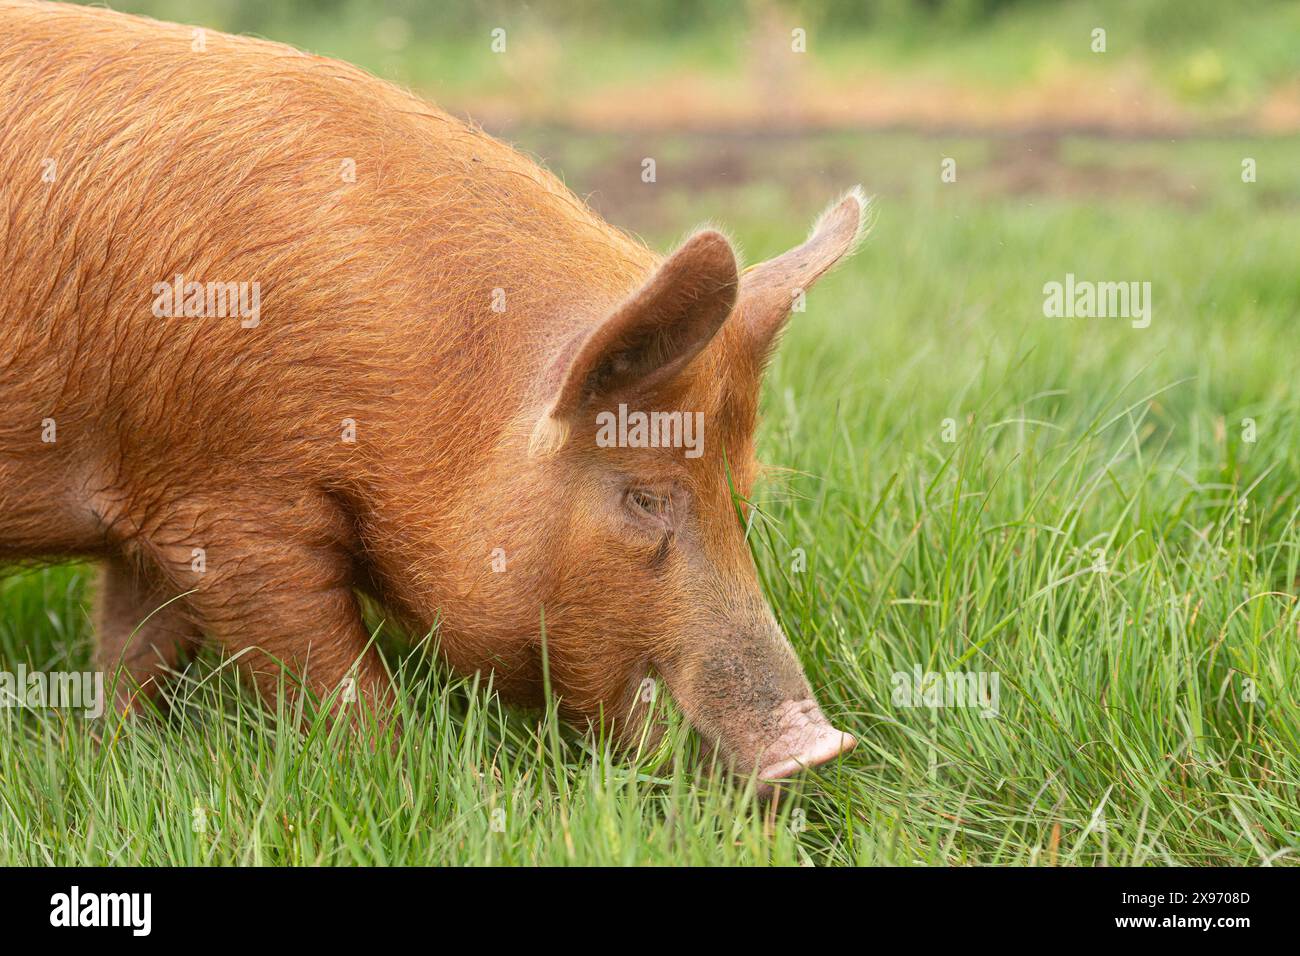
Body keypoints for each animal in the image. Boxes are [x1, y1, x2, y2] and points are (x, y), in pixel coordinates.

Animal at [2, 0, 863, 790]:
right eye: (644, 495)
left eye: (739, 493)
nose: (821, 746)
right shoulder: (229, 504)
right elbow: (329, 673)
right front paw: (431, 779)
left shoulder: (154, 491)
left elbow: (134, 647)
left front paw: (104, 754)